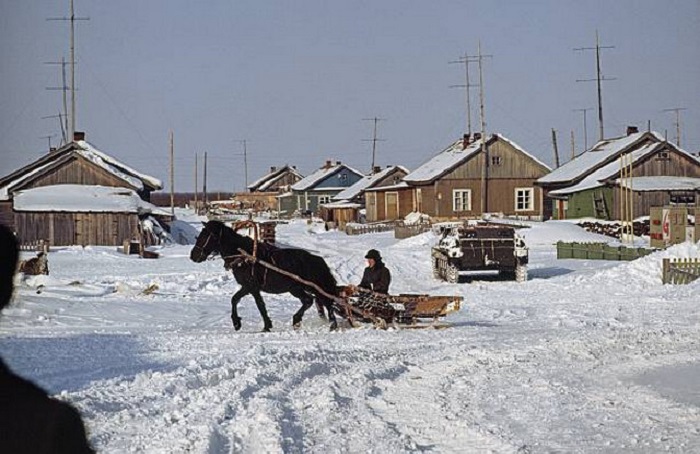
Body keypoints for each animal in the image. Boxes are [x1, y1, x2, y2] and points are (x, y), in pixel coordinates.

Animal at [189, 222, 336, 332]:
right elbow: (236, 300)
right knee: (309, 300)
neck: (244, 256)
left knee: (327, 301)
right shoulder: (248, 287)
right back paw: (297, 321)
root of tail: (316, 259)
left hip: (313, 286)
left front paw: (262, 326)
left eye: (205, 236)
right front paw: (240, 323)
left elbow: (258, 305)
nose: (193, 256)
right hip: (295, 288)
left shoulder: (251, 287)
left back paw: (332, 324)